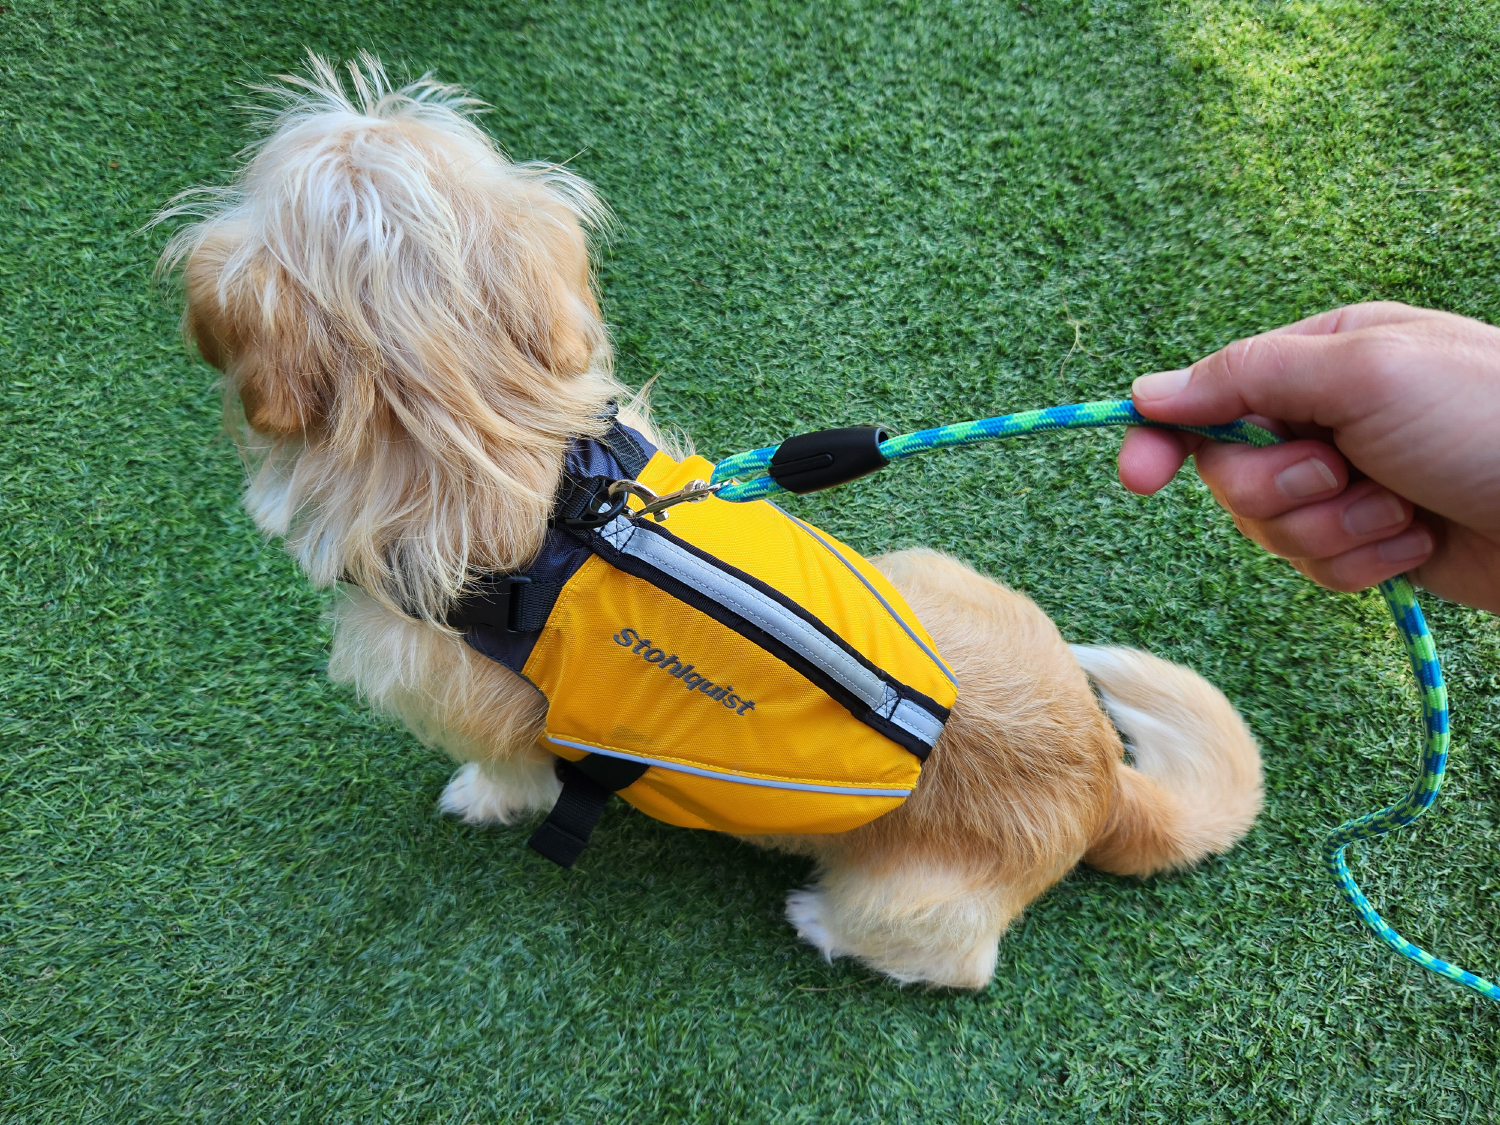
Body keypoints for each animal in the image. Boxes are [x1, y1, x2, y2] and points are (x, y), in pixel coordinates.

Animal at [161, 55, 1266, 984]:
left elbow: (505, 774)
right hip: (922, 567)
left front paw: (474, 799)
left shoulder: (487, 720)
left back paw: (820, 923)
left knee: (948, 959)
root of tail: (1106, 787)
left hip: (905, 898)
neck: (501, 450)